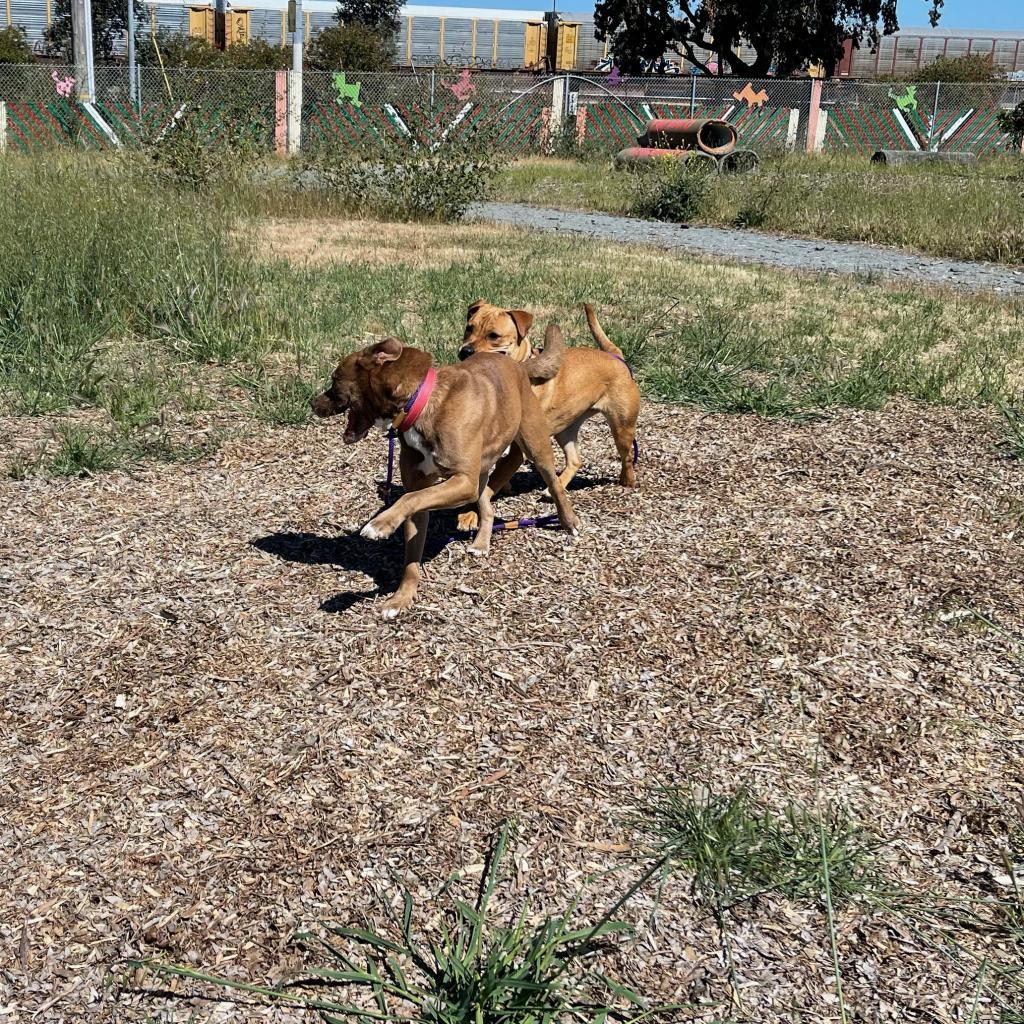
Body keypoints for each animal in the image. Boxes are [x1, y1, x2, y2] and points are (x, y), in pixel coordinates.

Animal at [311, 329, 581, 614]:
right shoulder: (434, 489)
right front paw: (401, 598)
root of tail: (517, 365)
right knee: (487, 505)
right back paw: (481, 542)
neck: (417, 404)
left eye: (335, 379)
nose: (312, 403)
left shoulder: (460, 482)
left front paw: (381, 523)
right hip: (480, 471)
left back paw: (569, 521)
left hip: (534, 445)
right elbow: (412, 546)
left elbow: (406, 498)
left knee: (554, 483)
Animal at [458, 299, 638, 524]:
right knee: (575, 459)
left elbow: (491, 484)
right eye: (469, 328)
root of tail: (616, 356)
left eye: (494, 335)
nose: (464, 351)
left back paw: (627, 481)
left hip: (622, 426)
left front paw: (470, 514)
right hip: (565, 430)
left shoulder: (517, 453)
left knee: (627, 456)